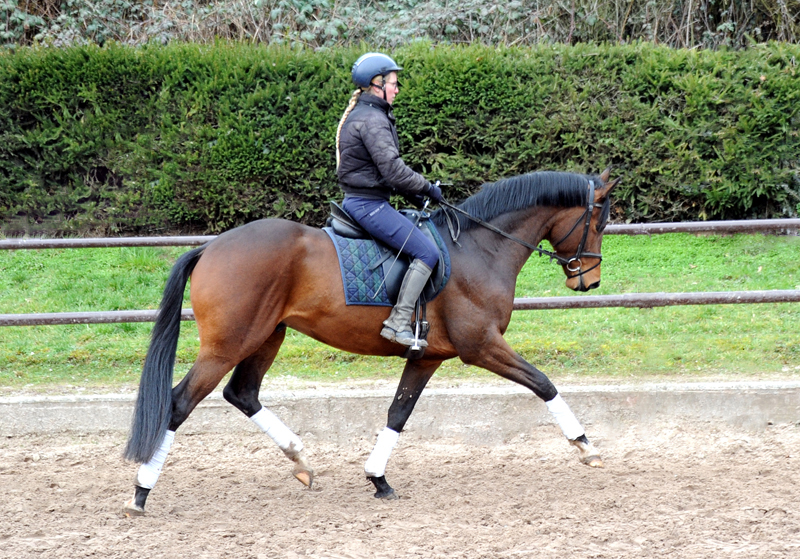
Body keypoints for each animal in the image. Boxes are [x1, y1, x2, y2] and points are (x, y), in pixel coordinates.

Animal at [120, 167, 620, 516]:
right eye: (598, 222)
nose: (589, 281)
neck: (480, 248)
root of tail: (212, 246)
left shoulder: (428, 357)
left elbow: (398, 414)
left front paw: (378, 479)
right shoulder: (480, 346)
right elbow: (543, 383)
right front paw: (586, 447)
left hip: (266, 336)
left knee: (242, 393)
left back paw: (300, 460)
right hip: (228, 345)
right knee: (179, 403)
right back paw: (141, 494)